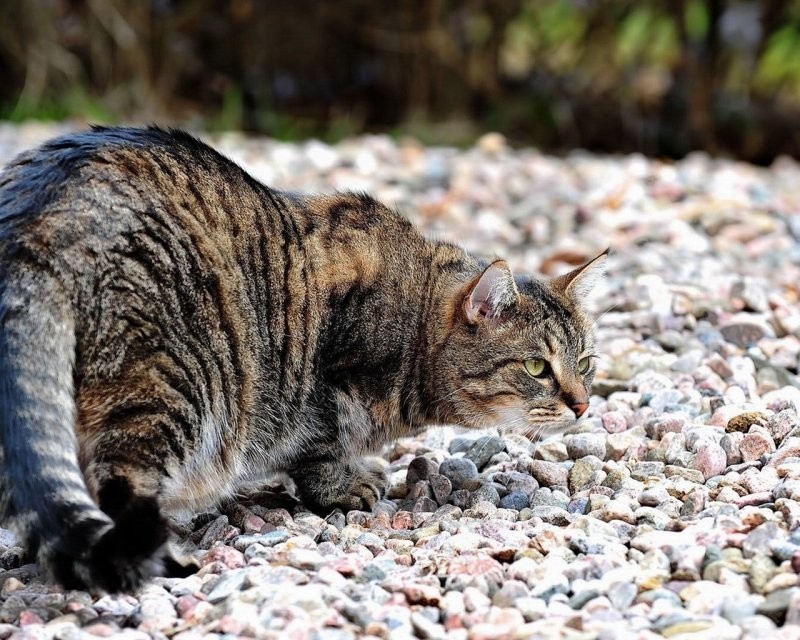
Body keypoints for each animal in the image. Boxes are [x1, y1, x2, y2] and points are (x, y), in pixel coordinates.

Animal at [0, 127, 604, 592]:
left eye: (586, 363)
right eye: (537, 368)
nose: (582, 406)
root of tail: (36, 216)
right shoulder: (326, 386)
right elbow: (321, 448)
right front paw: (344, 486)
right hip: (171, 388)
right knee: (120, 486)